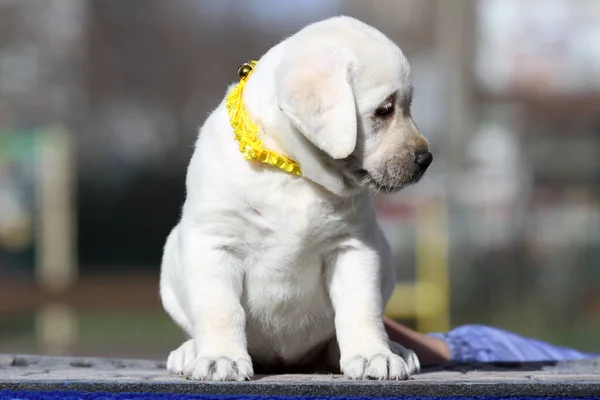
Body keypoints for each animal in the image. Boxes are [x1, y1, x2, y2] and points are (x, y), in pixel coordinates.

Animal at [159, 16, 432, 382]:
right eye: (384, 110)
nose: (426, 159)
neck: (292, 170)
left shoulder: (354, 248)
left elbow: (361, 308)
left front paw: (373, 354)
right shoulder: (215, 243)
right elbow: (221, 309)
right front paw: (220, 358)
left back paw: (392, 349)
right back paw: (190, 351)